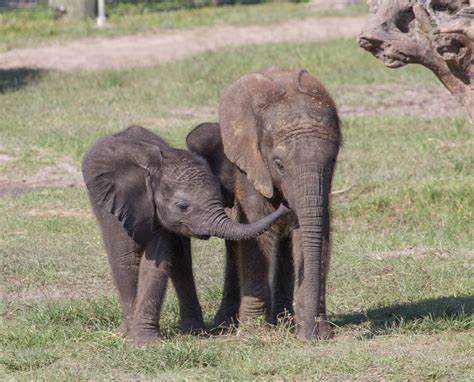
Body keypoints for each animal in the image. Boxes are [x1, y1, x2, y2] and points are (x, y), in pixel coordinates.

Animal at [82, 126, 288, 346]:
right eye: (182, 207)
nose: (284, 204)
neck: (155, 168)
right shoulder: (119, 205)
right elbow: (126, 262)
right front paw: (138, 341)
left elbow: (156, 264)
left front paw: (144, 343)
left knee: (181, 263)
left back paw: (194, 332)